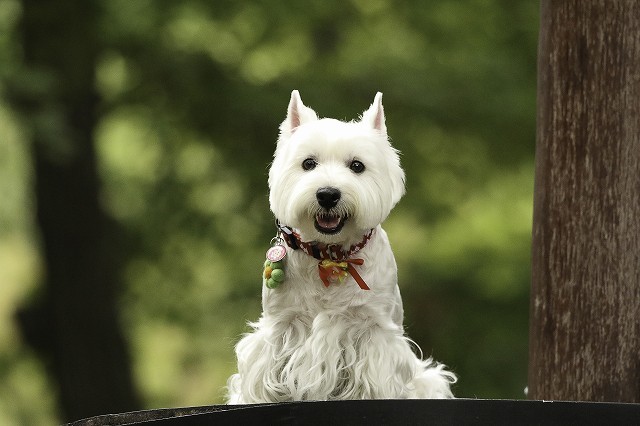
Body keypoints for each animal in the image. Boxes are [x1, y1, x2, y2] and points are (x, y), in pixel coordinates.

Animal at [226, 90, 456, 402]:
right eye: (308, 163)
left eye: (357, 166)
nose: (327, 194)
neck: (330, 256)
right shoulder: (280, 324)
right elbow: (266, 370)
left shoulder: (373, 329)